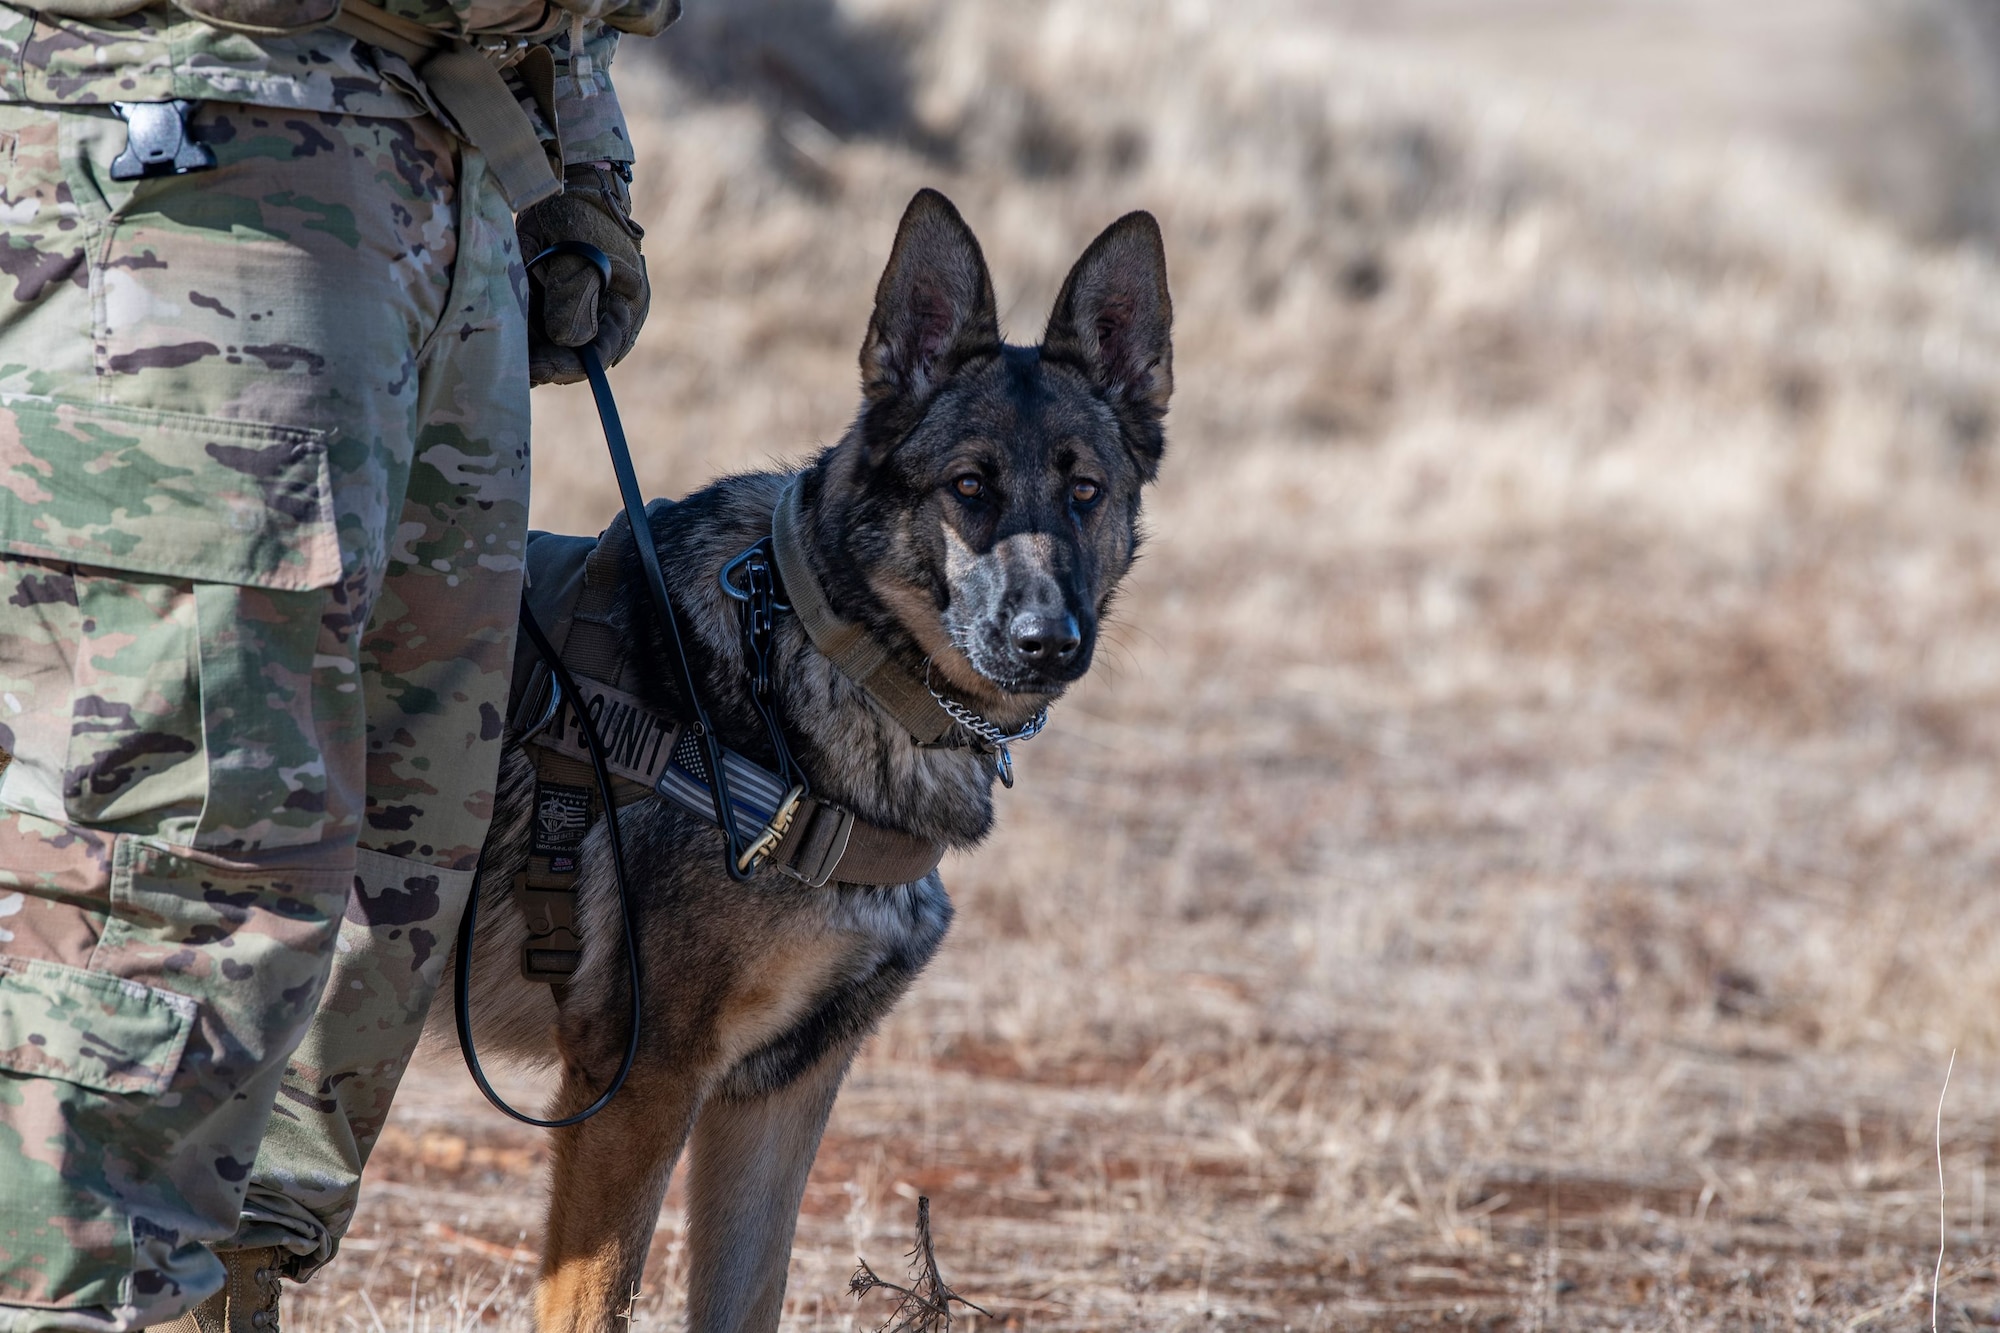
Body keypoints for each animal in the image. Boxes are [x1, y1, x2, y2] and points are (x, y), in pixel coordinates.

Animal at [424, 189, 1168, 1328]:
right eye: (968, 487)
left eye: (1084, 493)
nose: (1048, 640)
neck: (816, 655)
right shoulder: (639, 1084)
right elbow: (598, 1304)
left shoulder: (779, 1097)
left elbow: (746, 1300)